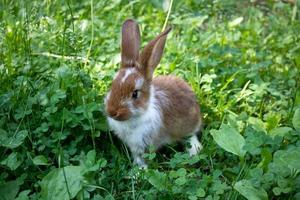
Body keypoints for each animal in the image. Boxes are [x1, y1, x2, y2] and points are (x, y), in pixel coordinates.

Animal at [104, 19, 203, 169]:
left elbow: (144, 158)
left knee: (192, 137)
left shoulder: (146, 144)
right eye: (112, 85)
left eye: (135, 94)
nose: (112, 112)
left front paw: (141, 170)